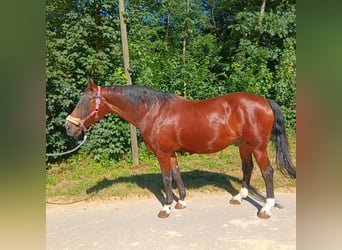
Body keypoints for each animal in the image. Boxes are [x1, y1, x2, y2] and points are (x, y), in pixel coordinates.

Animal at [65, 78, 296, 219]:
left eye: (86, 101)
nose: (68, 127)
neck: (153, 111)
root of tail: (264, 101)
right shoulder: (171, 153)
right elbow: (176, 175)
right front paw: (181, 201)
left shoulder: (162, 153)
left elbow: (167, 178)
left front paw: (166, 207)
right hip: (244, 146)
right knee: (247, 168)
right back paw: (239, 197)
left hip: (258, 147)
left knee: (267, 172)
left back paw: (266, 208)